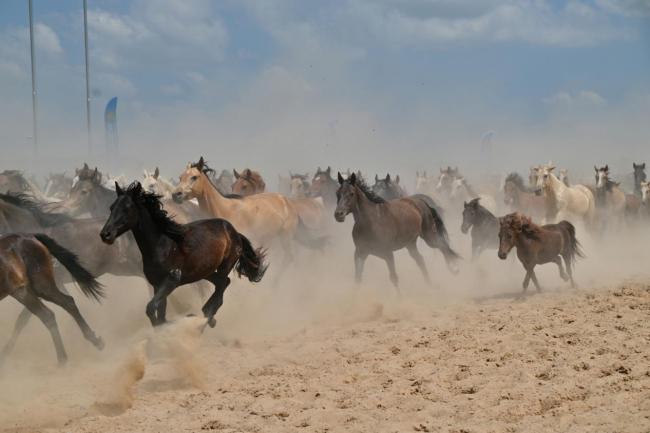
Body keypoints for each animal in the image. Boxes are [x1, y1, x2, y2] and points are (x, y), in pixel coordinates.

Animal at [0, 233, 104, 365]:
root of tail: (29, 236)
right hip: (34, 289)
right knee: (67, 303)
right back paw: (94, 341)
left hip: (31, 289)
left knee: (48, 314)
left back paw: (62, 359)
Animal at [100, 182, 268, 327]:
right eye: (111, 207)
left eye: (127, 208)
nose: (105, 234)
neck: (161, 245)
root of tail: (235, 232)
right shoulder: (157, 285)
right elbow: (160, 314)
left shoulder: (172, 280)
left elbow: (150, 308)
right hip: (205, 271)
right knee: (223, 283)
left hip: (224, 266)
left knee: (221, 287)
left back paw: (206, 316)